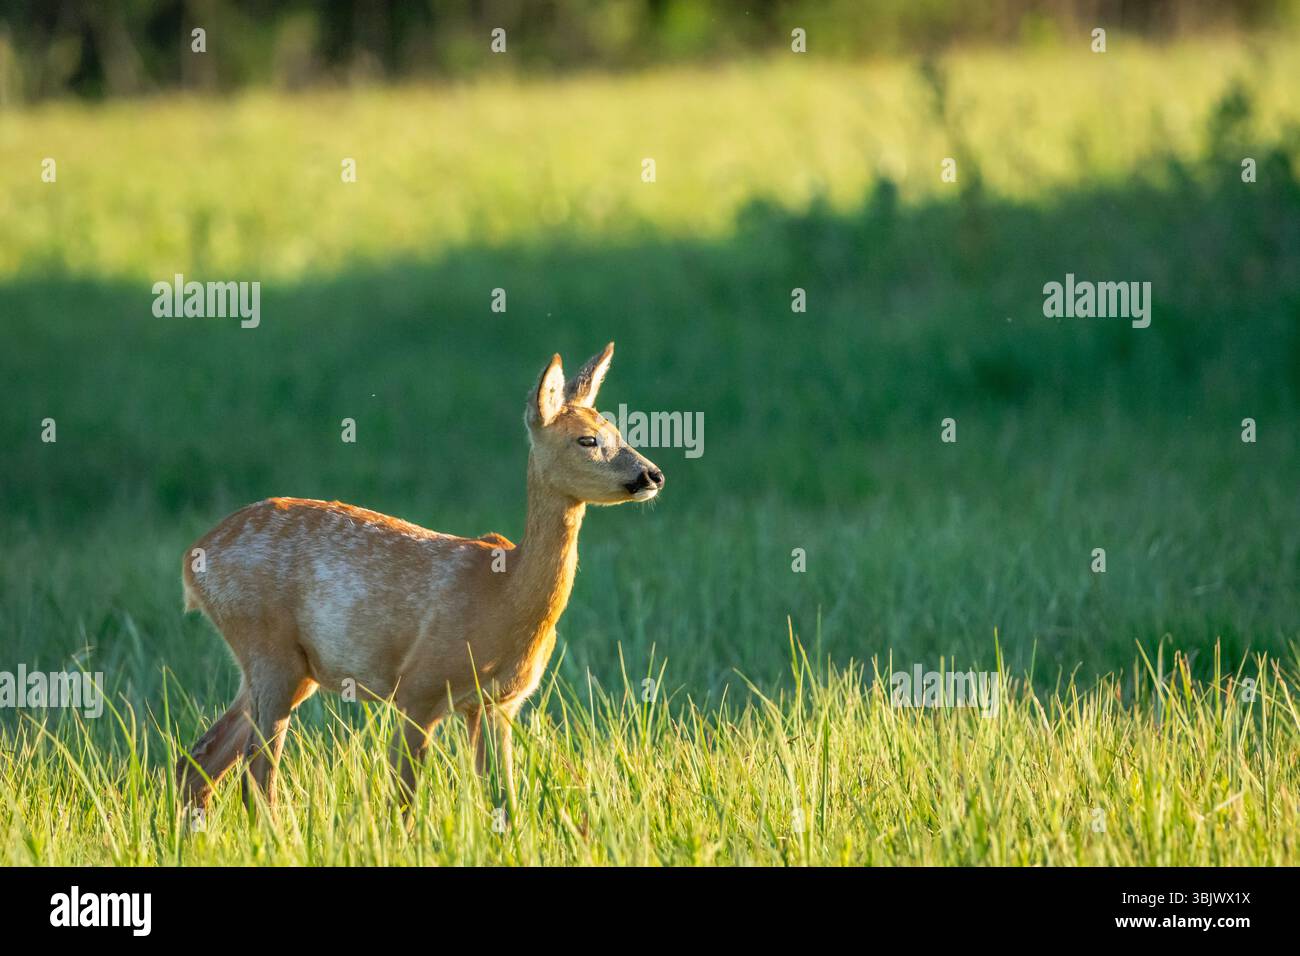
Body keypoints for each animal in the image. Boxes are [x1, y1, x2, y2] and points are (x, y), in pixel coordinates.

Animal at [175, 343, 663, 814]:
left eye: (620, 432)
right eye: (587, 439)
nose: (652, 474)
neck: (503, 594)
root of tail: (194, 558)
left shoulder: (498, 705)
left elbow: (504, 801)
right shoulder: (419, 688)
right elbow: (404, 804)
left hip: (290, 669)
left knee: (198, 762)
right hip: (268, 646)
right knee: (255, 779)